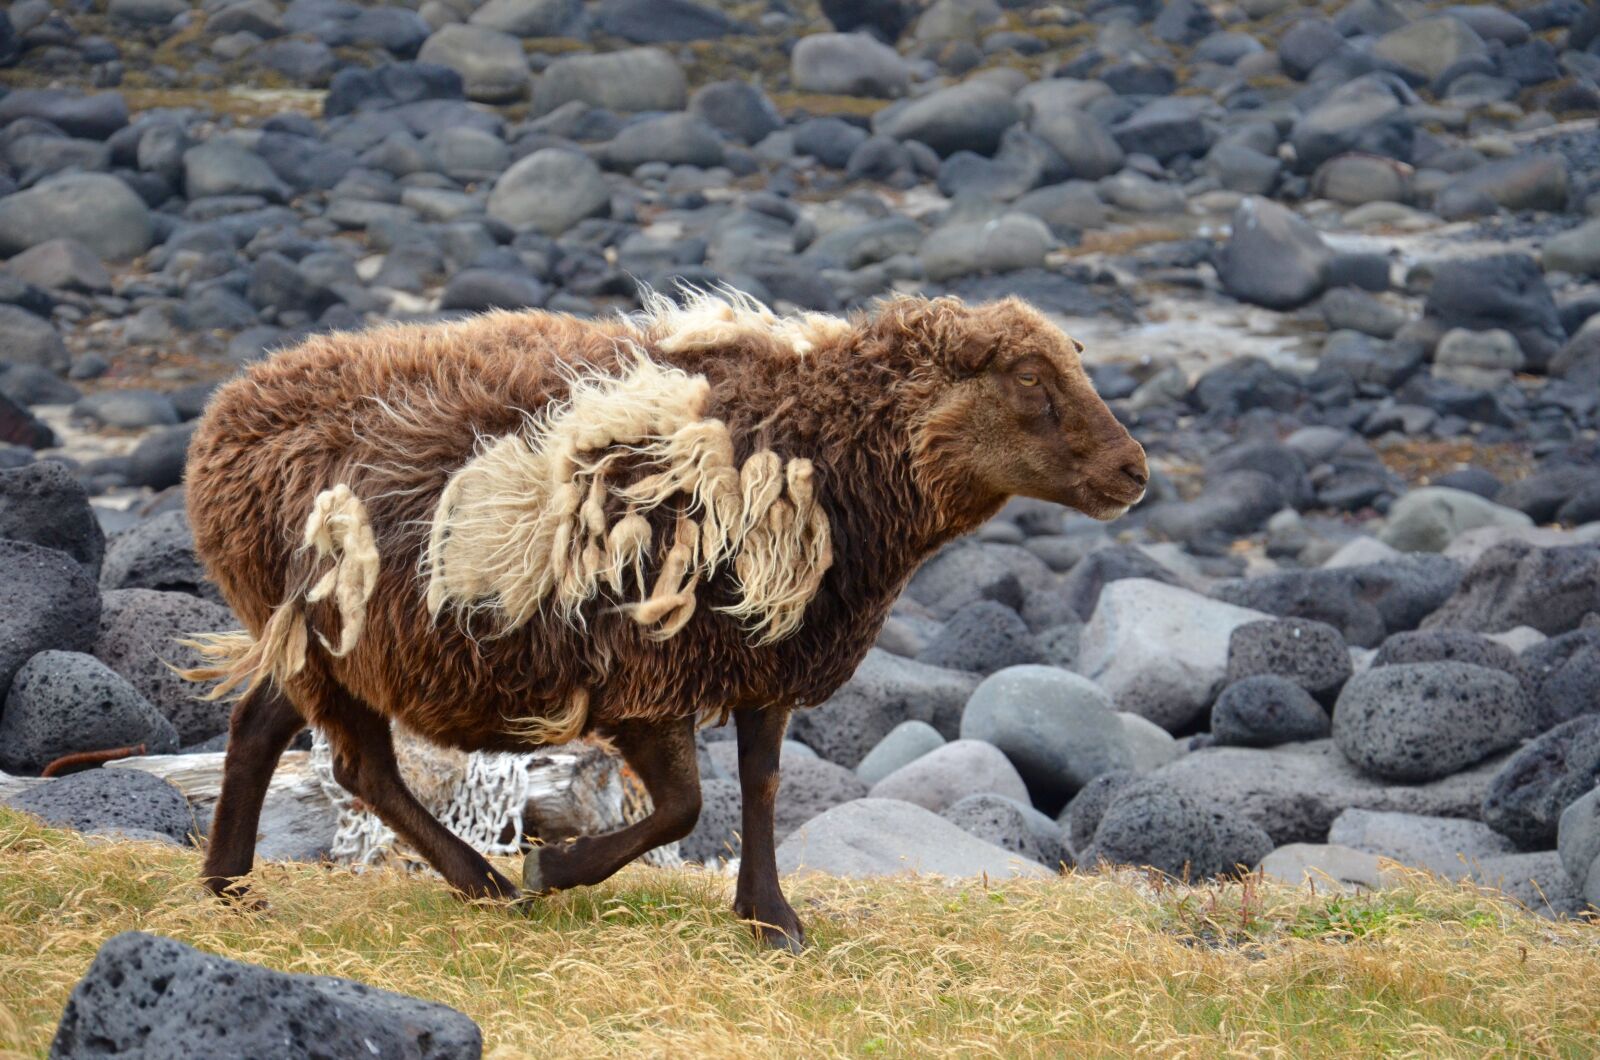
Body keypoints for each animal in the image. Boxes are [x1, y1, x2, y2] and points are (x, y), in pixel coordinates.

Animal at [181, 287, 1147, 950]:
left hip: (318, 636)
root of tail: (223, 413)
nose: (1134, 472)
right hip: (331, 630)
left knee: (262, 724)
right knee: (359, 766)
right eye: (1030, 377)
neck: (818, 440)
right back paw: (481, 882)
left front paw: (771, 920)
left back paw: (230, 883)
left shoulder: (766, 654)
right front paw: (557, 869)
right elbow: (684, 807)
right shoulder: (642, 668)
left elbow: (761, 784)